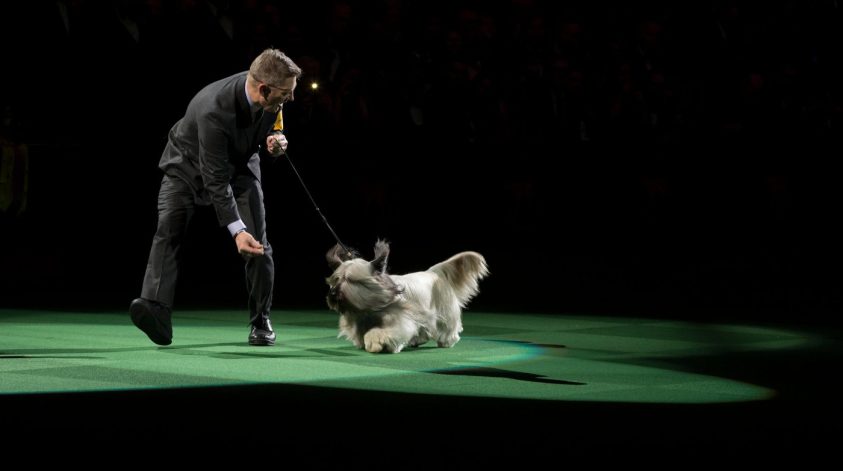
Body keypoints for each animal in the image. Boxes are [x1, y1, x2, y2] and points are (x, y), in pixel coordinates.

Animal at [326, 242, 492, 352]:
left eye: (350, 280)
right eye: (336, 279)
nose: (333, 293)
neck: (371, 305)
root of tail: (434, 272)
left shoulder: (400, 320)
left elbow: (382, 332)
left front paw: (376, 341)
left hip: (444, 312)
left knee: (447, 327)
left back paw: (446, 341)